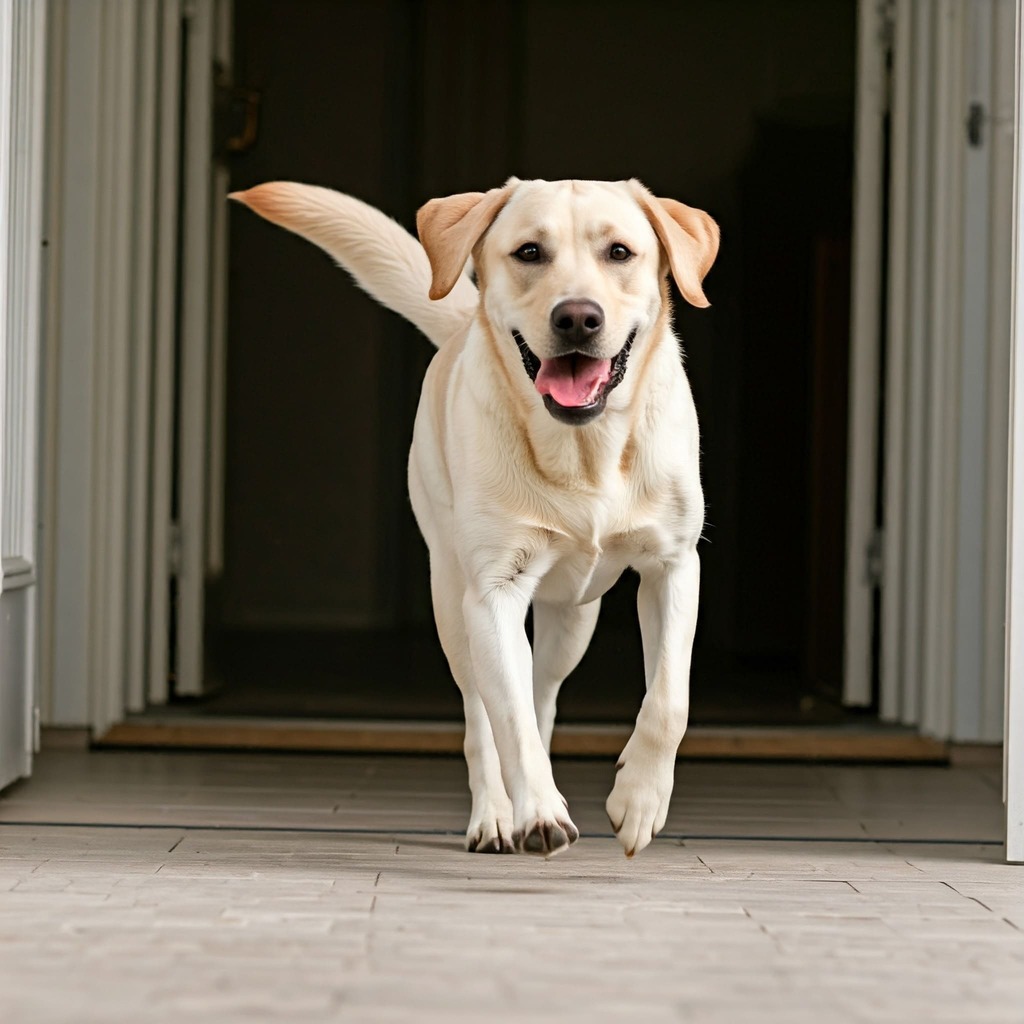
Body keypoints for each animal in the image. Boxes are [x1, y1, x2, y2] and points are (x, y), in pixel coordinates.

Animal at [232, 178, 720, 856]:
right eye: (529, 252)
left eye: (620, 252)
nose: (577, 316)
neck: (584, 451)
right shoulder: (493, 591)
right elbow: (505, 716)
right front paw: (536, 811)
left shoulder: (674, 566)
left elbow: (669, 698)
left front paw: (640, 799)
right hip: (453, 601)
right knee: (483, 715)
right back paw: (497, 815)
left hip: (574, 619)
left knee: (541, 693)